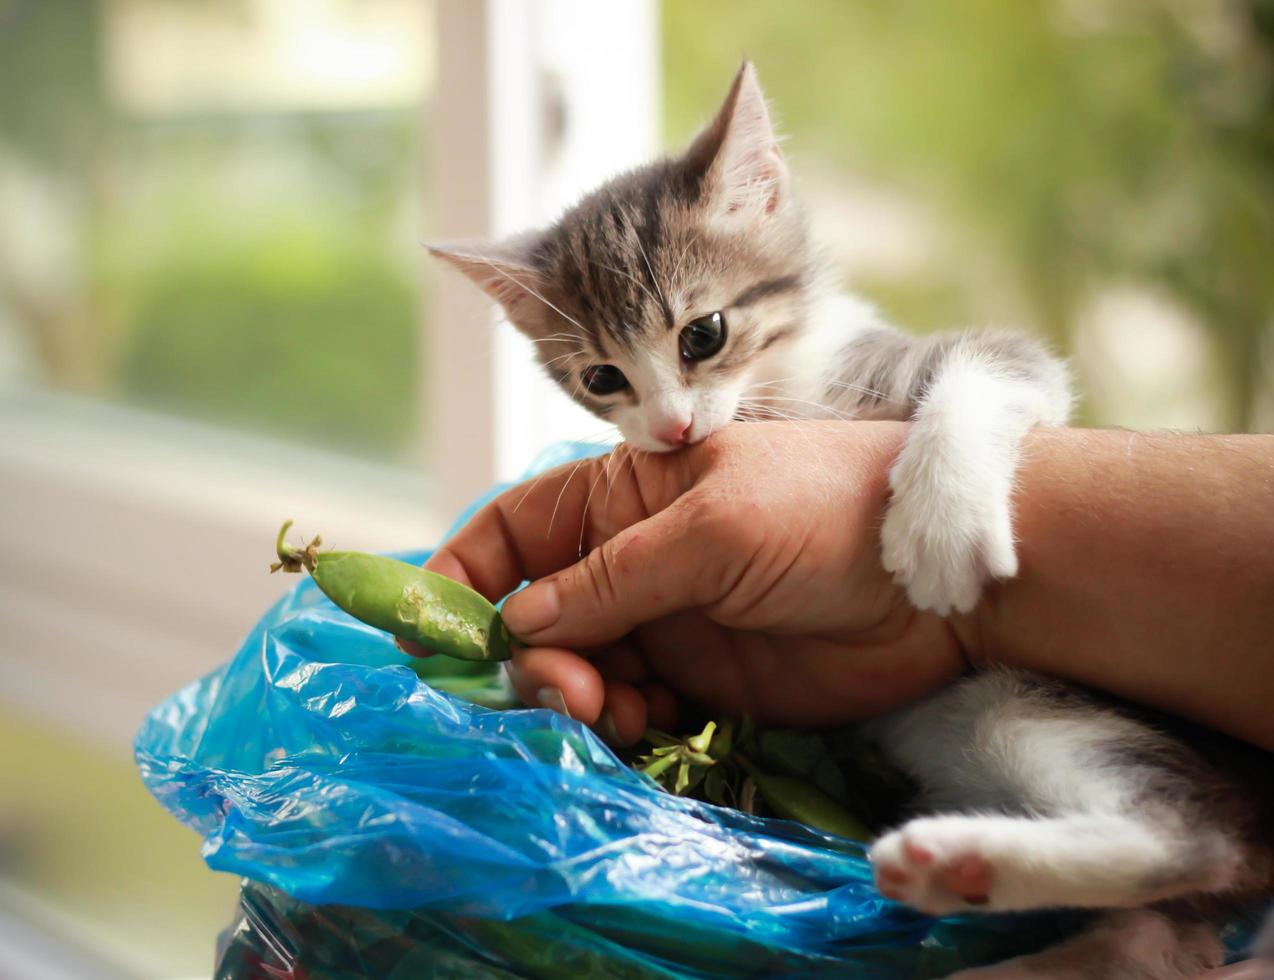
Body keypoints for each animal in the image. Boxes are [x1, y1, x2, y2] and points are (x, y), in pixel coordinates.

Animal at [433, 63, 1268, 978]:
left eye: (704, 334)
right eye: (603, 378)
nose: (671, 430)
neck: (776, 388)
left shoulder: (960, 360)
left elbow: (992, 364)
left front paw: (940, 521)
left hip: (1040, 702)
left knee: (1195, 839)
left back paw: (957, 861)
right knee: (1151, 932)